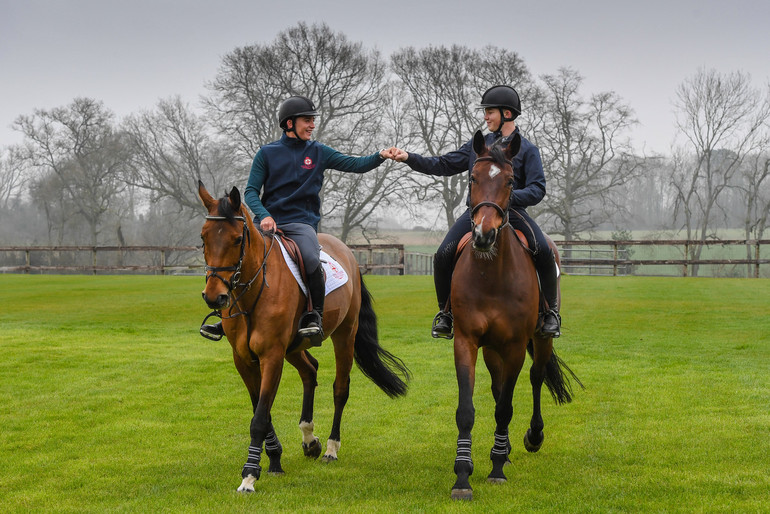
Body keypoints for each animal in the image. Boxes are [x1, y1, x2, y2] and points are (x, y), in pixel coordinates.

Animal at [198, 181, 412, 492]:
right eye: (203, 238)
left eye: (237, 239)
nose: (215, 297)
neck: (253, 292)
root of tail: (346, 252)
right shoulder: (244, 359)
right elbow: (261, 411)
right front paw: (273, 459)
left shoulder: (272, 356)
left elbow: (259, 417)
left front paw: (250, 475)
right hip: (294, 347)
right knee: (310, 370)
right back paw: (310, 439)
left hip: (344, 335)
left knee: (340, 388)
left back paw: (331, 448)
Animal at [448, 130, 580, 498]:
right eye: (473, 177)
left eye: (509, 181)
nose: (483, 235)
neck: (491, 274)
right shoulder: (466, 341)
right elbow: (468, 410)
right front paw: (462, 475)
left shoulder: (516, 346)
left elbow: (506, 406)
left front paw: (495, 469)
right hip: (492, 350)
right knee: (496, 387)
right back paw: (503, 450)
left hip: (539, 340)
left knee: (535, 378)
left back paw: (532, 437)